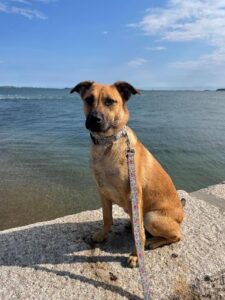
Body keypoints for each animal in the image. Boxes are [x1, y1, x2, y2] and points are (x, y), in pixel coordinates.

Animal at [71, 81, 185, 268]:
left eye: (110, 101)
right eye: (89, 99)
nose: (95, 119)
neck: (107, 143)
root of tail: (182, 214)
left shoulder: (134, 195)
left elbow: (139, 233)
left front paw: (136, 254)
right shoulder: (103, 192)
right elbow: (107, 217)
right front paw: (102, 235)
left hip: (151, 217)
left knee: (176, 235)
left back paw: (153, 242)